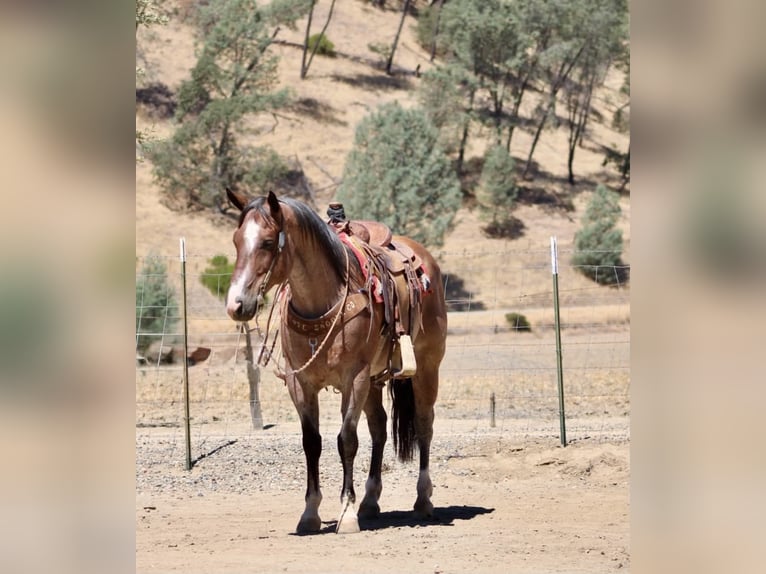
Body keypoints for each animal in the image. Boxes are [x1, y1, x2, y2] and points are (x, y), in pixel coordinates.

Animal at [225, 190, 447, 534]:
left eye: (267, 242)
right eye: (237, 241)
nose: (236, 305)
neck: (322, 301)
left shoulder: (353, 380)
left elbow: (347, 440)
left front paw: (346, 513)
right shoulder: (300, 384)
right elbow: (311, 443)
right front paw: (310, 513)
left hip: (425, 370)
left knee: (424, 425)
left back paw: (423, 500)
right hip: (374, 382)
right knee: (380, 428)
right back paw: (370, 501)